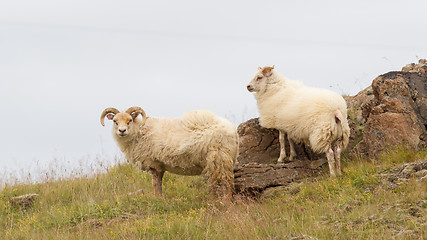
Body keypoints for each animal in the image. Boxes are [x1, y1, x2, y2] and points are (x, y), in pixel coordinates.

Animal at [101, 107, 239, 199]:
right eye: (115, 121)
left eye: (129, 120)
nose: (122, 131)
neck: (140, 130)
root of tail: (233, 131)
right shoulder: (160, 165)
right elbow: (159, 184)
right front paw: (160, 199)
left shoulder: (154, 163)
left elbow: (155, 184)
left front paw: (158, 200)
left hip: (219, 157)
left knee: (227, 182)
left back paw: (224, 203)